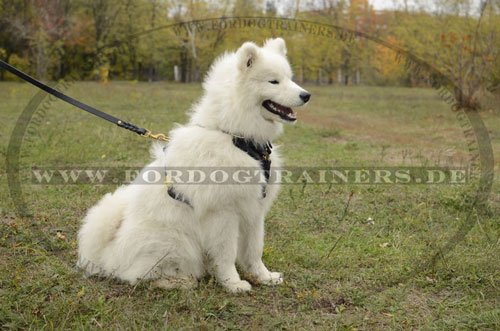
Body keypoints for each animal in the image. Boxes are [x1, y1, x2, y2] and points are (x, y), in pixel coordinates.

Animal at [76, 38, 310, 294]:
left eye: (289, 78)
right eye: (273, 81)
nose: (306, 95)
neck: (236, 138)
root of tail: (107, 254)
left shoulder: (254, 209)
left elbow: (255, 250)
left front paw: (264, 277)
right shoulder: (223, 213)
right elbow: (227, 254)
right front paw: (233, 283)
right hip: (176, 241)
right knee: (138, 276)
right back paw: (180, 281)